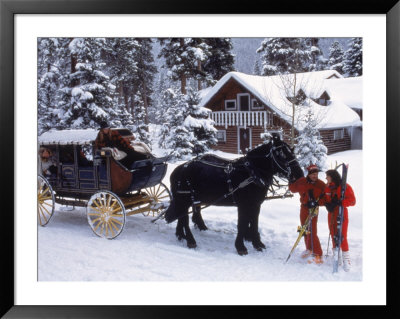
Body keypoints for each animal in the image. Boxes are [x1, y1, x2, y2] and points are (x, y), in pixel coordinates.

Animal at [162, 134, 304, 256]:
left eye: (292, 151)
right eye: (281, 155)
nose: (299, 174)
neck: (251, 173)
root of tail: (179, 169)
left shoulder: (255, 204)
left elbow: (254, 223)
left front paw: (257, 244)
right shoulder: (243, 205)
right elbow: (242, 224)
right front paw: (241, 247)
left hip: (186, 200)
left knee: (182, 217)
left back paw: (181, 235)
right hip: (184, 199)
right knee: (184, 219)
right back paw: (190, 240)